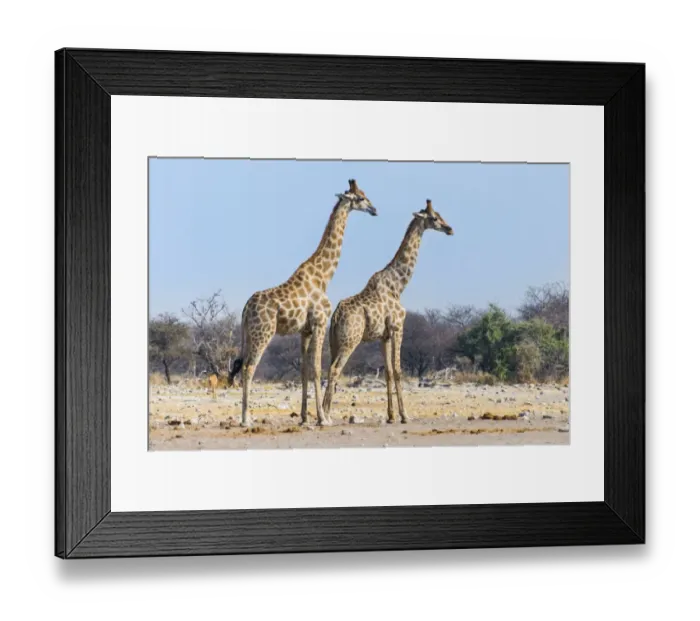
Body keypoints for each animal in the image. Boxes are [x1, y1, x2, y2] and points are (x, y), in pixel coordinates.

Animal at [230, 180, 377, 427]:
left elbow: (304, 370)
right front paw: (322, 419)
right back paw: (245, 419)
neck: (324, 276)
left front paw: (304, 417)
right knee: (249, 368)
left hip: (249, 334)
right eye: (360, 198)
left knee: (241, 365)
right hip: (263, 333)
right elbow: (317, 368)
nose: (374, 209)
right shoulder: (319, 322)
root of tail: (245, 309)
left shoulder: (305, 330)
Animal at [322, 200, 453, 424]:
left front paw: (391, 416)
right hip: (350, 340)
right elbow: (398, 370)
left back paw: (322, 412)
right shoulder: (397, 327)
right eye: (434, 218)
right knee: (335, 369)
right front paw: (405, 415)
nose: (449, 229)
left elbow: (388, 372)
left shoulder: (383, 335)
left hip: (334, 342)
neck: (398, 285)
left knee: (328, 367)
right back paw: (327, 415)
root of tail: (337, 315)